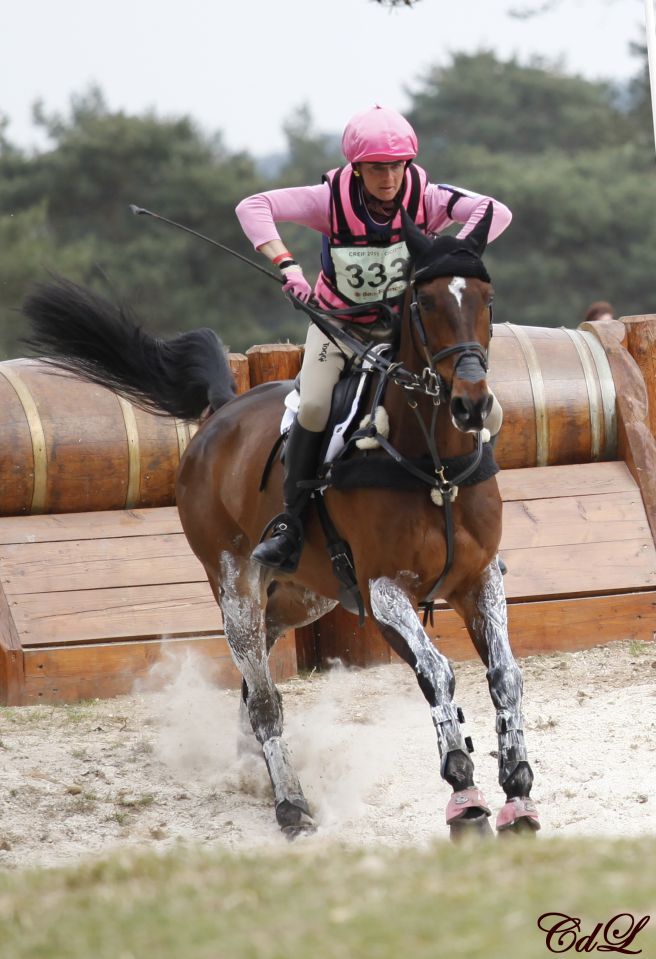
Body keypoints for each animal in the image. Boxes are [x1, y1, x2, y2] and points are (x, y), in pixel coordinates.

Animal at [21, 207, 540, 840]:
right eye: (425, 301)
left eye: (488, 300)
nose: (470, 404)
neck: (433, 465)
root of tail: (222, 411)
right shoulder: (384, 589)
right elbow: (437, 674)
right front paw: (464, 795)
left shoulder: (479, 579)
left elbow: (506, 676)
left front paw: (519, 792)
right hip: (236, 585)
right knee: (265, 697)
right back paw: (290, 801)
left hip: (300, 595)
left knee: (257, 682)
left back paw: (257, 769)